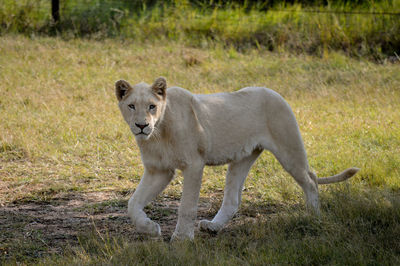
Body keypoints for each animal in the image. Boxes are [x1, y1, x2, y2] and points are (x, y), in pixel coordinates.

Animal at [115, 77, 360, 241]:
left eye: (152, 106)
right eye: (131, 106)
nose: (141, 125)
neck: (158, 133)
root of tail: (273, 92)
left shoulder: (194, 164)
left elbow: (187, 206)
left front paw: (182, 238)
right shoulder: (158, 170)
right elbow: (132, 203)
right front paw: (150, 228)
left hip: (289, 148)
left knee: (311, 179)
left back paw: (313, 215)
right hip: (242, 158)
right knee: (233, 200)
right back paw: (213, 227)